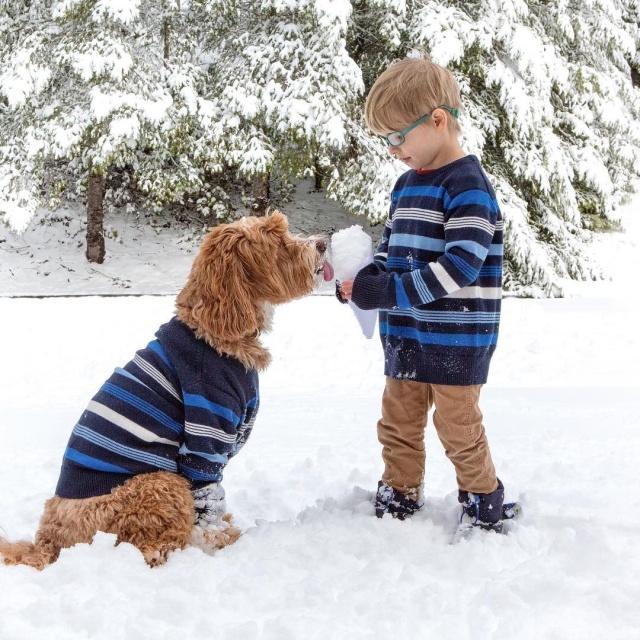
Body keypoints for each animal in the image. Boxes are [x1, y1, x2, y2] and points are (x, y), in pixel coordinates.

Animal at [2, 211, 336, 568]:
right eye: (277, 241)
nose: (322, 242)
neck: (214, 332)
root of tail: (46, 543)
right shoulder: (206, 437)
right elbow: (210, 501)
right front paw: (224, 541)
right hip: (159, 483)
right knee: (150, 545)